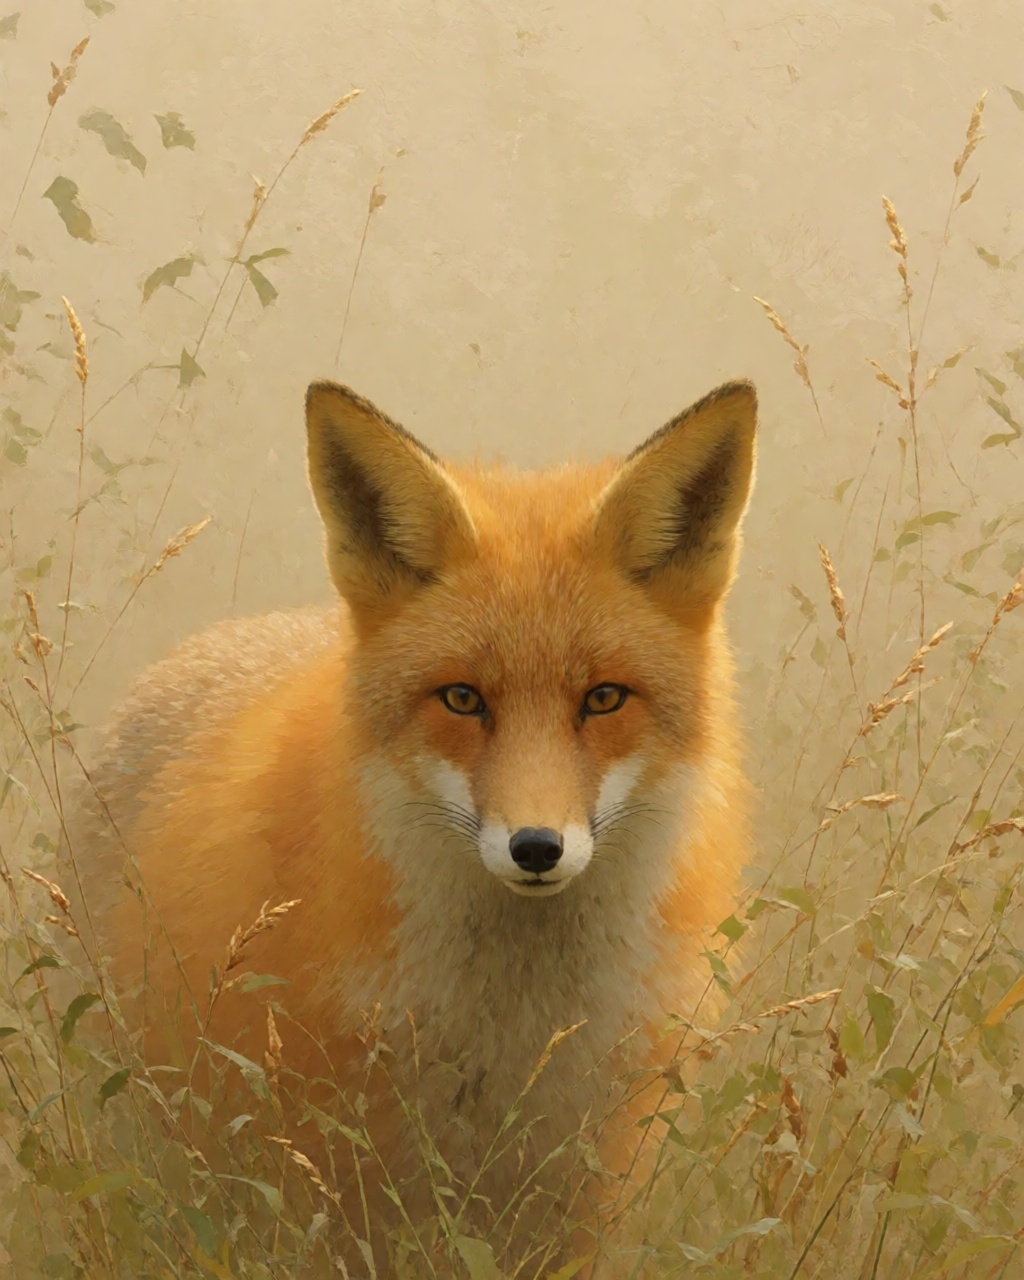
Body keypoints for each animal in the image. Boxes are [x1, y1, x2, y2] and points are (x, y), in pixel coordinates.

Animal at [71, 376, 757, 1270]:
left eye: (604, 698)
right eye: (462, 698)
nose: (536, 848)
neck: (511, 1029)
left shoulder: (580, 1190)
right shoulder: (339, 1186)